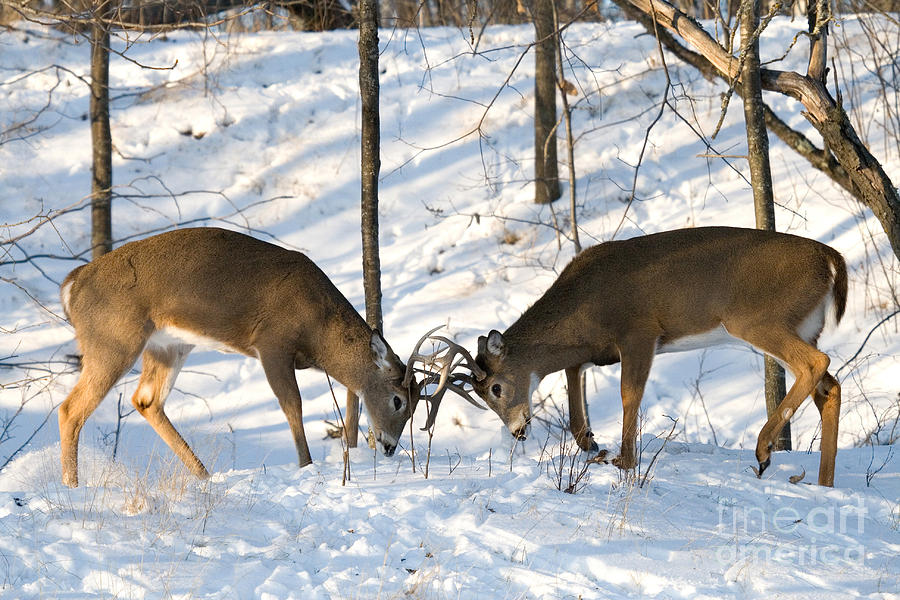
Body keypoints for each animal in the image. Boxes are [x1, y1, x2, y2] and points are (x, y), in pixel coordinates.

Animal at [58, 227, 416, 486]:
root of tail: (72, 284)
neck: (319, 329)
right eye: (398, 399)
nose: (389, 447)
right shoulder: (272, 342)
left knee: (145, 400)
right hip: (113, 339)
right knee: (70, 409)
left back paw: (203, 474)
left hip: (168, 345)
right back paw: (72, 486)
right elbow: (293, 406)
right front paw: (306, 465)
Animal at [460, 227, 848, 486]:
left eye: (495, 388)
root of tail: (832, 259)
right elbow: (574, 397)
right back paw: (824, 482)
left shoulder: (639, 332)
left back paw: (764, 450)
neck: (582, 310)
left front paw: (624, 461)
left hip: (758, 319)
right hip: (803, 325)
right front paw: (592, 443)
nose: (517, 431)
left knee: (816, 362)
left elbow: (629, 395)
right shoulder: (591, 353)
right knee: (830, 386)